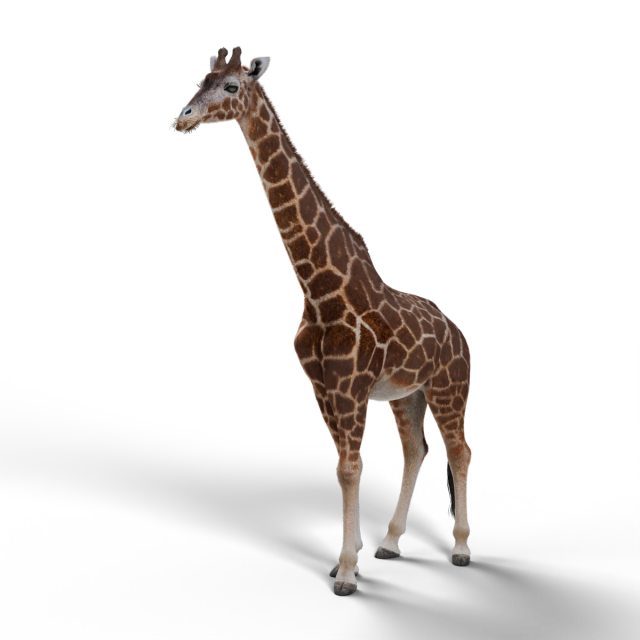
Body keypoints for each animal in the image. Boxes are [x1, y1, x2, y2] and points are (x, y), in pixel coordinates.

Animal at [169, 45, 474, 595]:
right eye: (201, 79)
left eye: (230, 87)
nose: (179, 119)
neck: (317, 288)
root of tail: (460, 336)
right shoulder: (323, 386)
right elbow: (341, 468)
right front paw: (352, 556)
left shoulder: (350, 385)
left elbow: (351, 467)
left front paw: (348, 571)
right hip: (407, 394)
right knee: (416, 450)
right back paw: (390, 541)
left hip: (448, 387)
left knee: (460, 450)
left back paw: (460, 546)